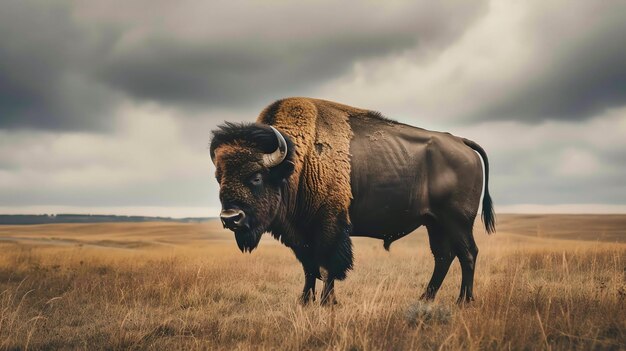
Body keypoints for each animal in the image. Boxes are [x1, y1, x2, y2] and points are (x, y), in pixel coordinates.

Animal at [210, 97, 492, 306]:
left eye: (256, 177)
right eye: (218, 177)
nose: (230, 218)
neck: (296, 163)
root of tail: (461, 142)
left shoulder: (329, 228)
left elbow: (327, 267)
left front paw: (327, 302)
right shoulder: (301, 235)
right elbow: (309, 268)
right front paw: (305, 301)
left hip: (458, 221)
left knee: (468, 253)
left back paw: (463, 301)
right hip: (434, 223)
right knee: (443, 256)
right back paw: (425, 298)